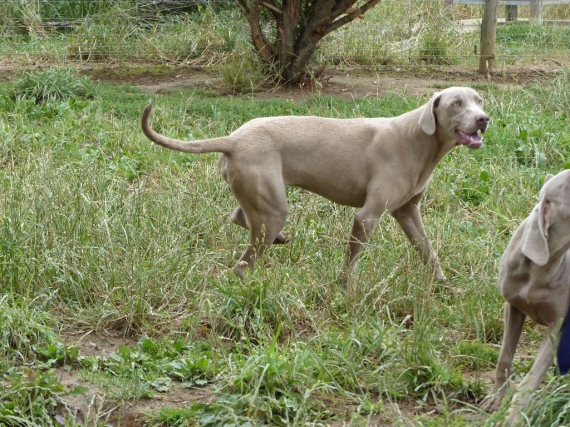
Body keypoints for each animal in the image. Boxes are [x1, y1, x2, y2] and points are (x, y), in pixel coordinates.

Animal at [140, 88, 486, 280]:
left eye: (479, 100)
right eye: (456, 103)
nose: (483, 119)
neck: (419, 141)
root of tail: (233, 139)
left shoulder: (407, 212)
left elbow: (428, 250)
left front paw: (443, 284)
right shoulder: (367, 216)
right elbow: (352, 261)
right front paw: (346, 290)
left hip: (259, 197)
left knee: (240, 217)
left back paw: (279, 239)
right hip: (272, 205)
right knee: (243, 263)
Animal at [482, 170, 570, 424]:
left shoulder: (558, 327)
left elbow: (532, 377)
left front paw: (512, 417)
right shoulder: (513, 305)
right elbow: (504, 357)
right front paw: (495, 399)